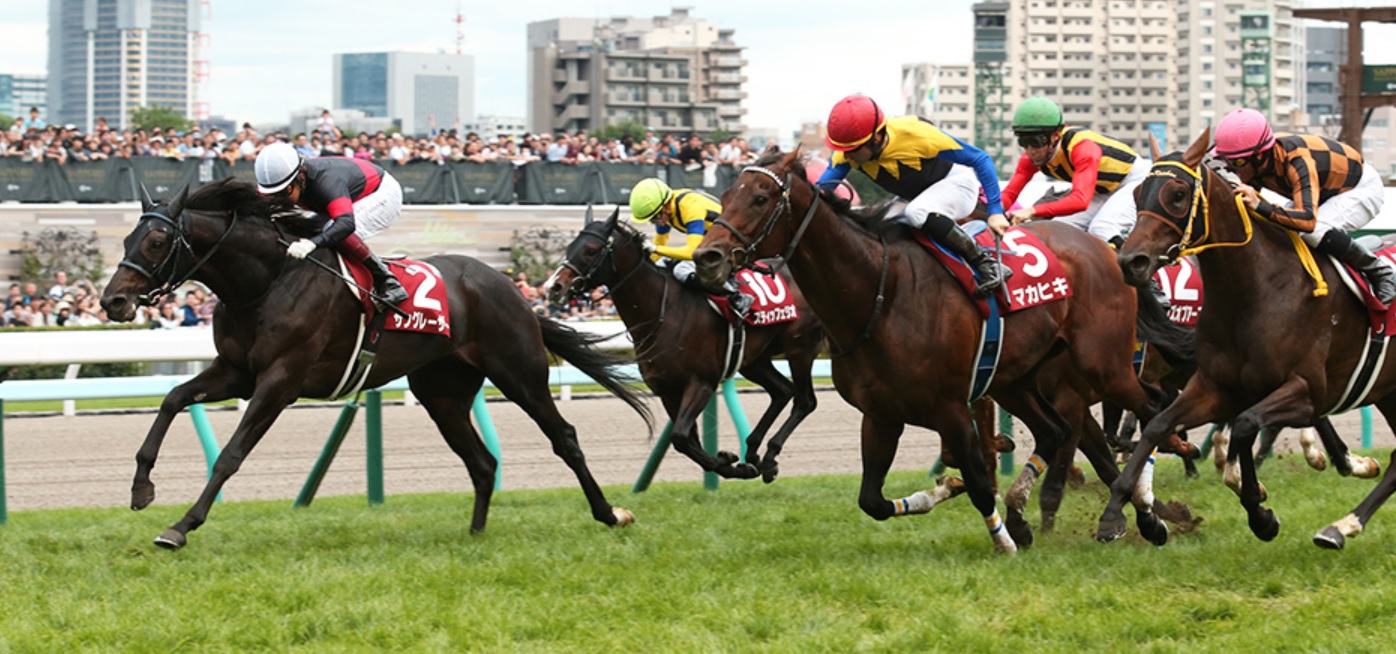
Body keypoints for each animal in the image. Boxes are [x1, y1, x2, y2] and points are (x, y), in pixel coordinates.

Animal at [98, 178, 653, 549]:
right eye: (125, 240)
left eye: (156, 242)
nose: (112, 302)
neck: (267, 282)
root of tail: (513, 289)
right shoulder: (237, 373)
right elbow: (172, 399)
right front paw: (142, 487)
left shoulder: (279, 381)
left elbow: (231, 455)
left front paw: (180, 527)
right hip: (442, 392)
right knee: (481, 461)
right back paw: (475, 535)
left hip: (519, 373)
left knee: (564, 438)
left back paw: (610, 514)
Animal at [545, 206, 825, 481]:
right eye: (570, 247)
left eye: (591, 250)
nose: (554, 287)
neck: (663, 312)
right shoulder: (667, 390)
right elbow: (688, 441)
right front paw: (732, 462)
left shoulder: (701, 383)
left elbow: (680, 437)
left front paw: (732, 464)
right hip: (754, 360)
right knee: (782, 390)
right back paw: (755, 452)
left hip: (799, 347)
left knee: (805, 401)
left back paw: (769, 456)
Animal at [693, 148, 1192, 553]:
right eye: (728, 193)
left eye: (760, 198)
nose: (707, 258)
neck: (882, 294)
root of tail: (1107, 250)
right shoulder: (881, 414)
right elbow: (873, 500)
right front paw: (948, 492)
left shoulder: (950, 407)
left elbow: (979, 483)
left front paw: (1004, 542)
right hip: (1016, 379)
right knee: (1056, 430)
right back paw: (1046, 513)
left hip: (1103, 364)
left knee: (1151, 410)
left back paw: (1146, 513)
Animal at [1108, 127, 1396, 549]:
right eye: (1136, 194)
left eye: (1177, 194)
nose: (1131, 262)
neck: (1257, 291)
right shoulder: (1214, 386)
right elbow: (1160, 424)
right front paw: (1119, 514)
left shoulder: (1306, 391)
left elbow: (1245, 425)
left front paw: (1260, 513)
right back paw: (1340, 526)